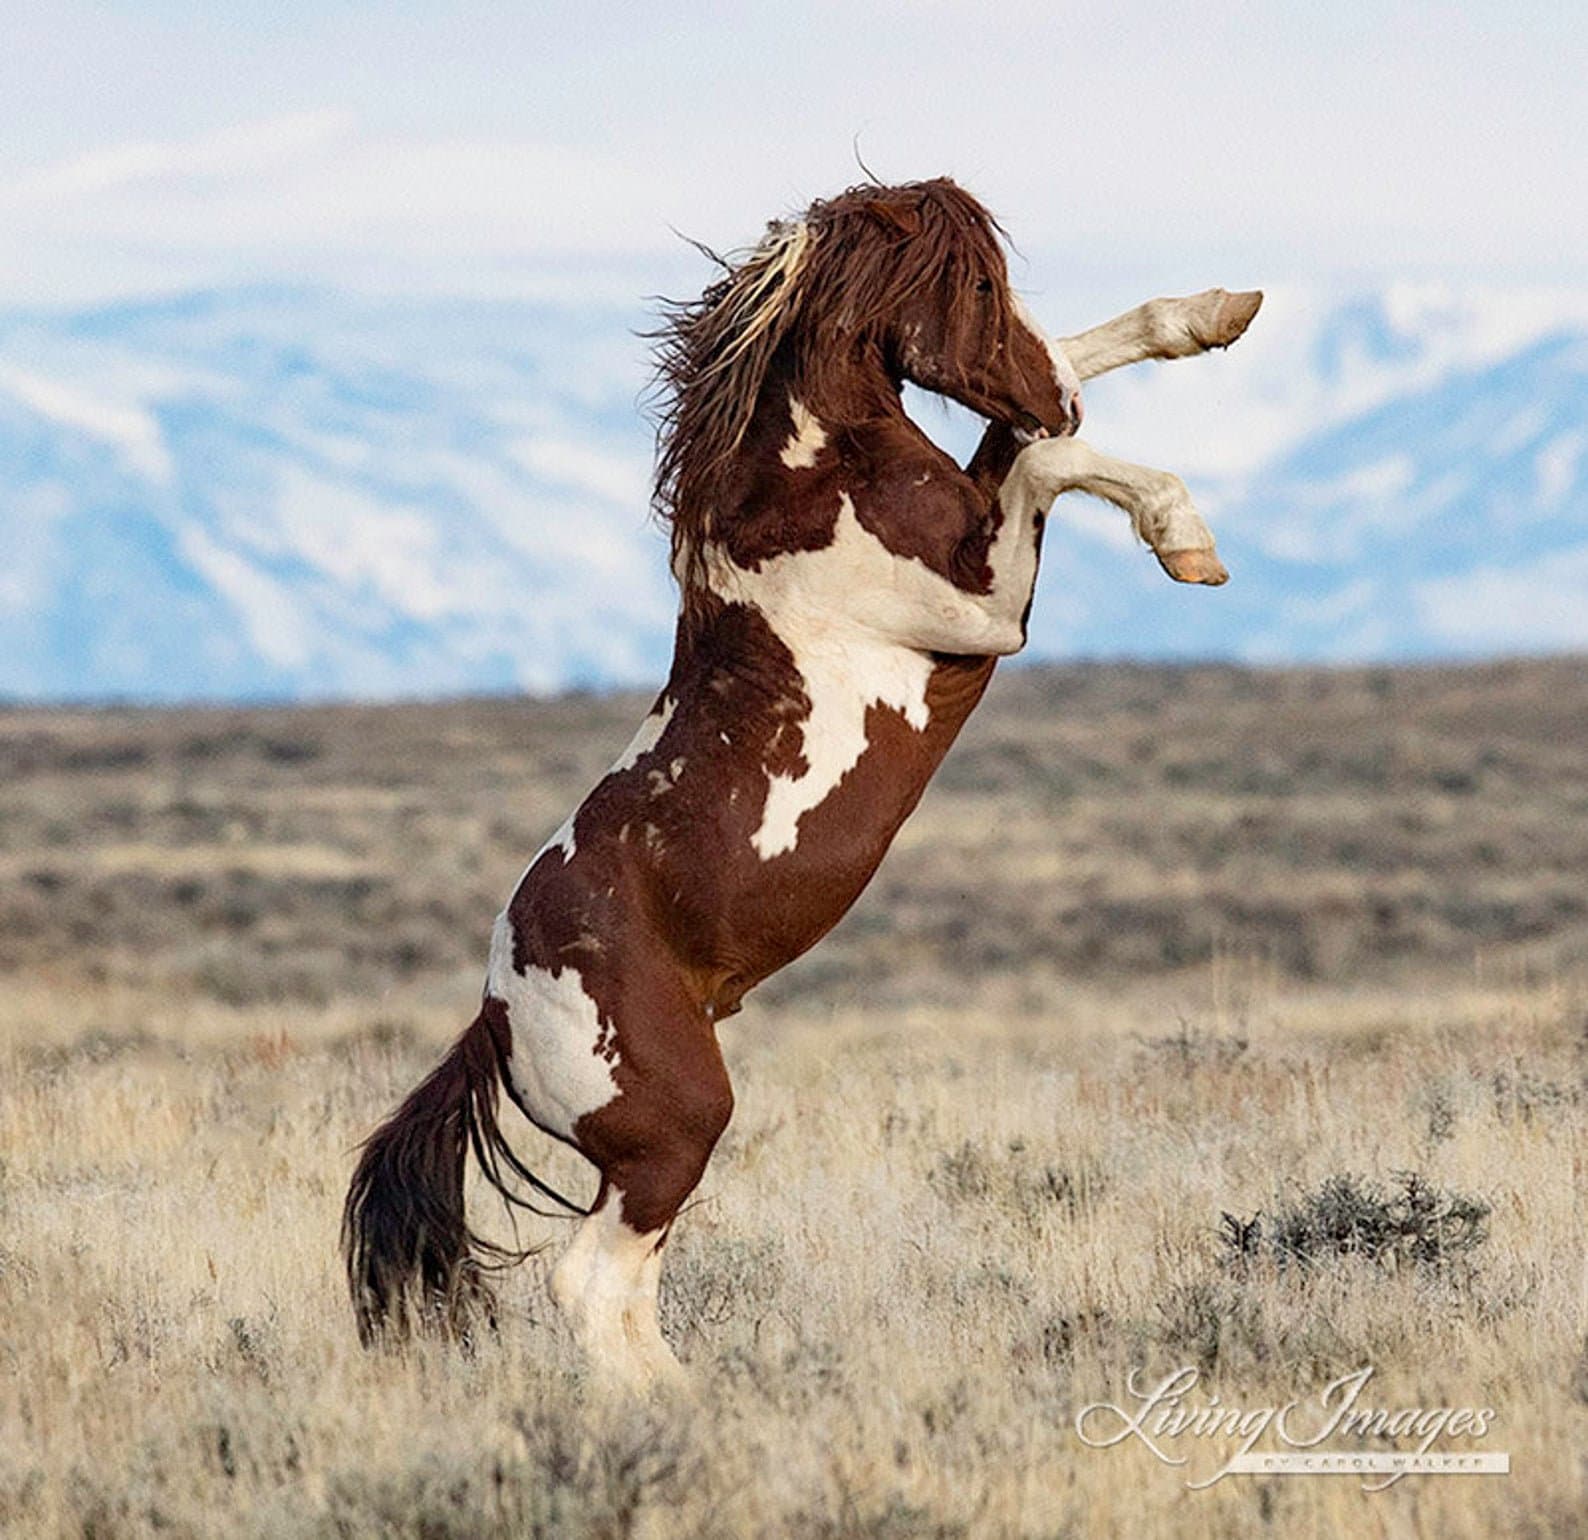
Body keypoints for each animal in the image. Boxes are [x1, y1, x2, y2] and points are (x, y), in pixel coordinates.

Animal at [342, 177, 1261, 1389]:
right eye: (972, 285)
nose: (1054, 400)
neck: (808, 484)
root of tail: (497, 1012)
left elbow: (1046, 417)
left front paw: (1212, 314)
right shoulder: (984, 606)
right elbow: (1047, 466)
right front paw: (1185, 538)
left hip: (647, 1160)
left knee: (627, 1293)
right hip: (675, 1127)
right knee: (588, 1284)